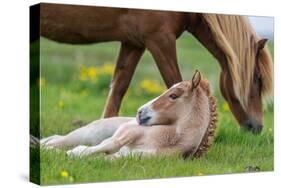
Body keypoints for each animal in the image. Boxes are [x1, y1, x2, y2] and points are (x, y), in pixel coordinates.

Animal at [41, 71, 217, 158]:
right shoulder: (123, 134)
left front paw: (70, 154)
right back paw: (45, 147)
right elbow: (108, 145)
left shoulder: (131, 157)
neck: (168, 140)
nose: (140, 112)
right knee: (59, 140)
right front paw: (72, 153)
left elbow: (107, 156)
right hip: (88, 134)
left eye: (173, 95)